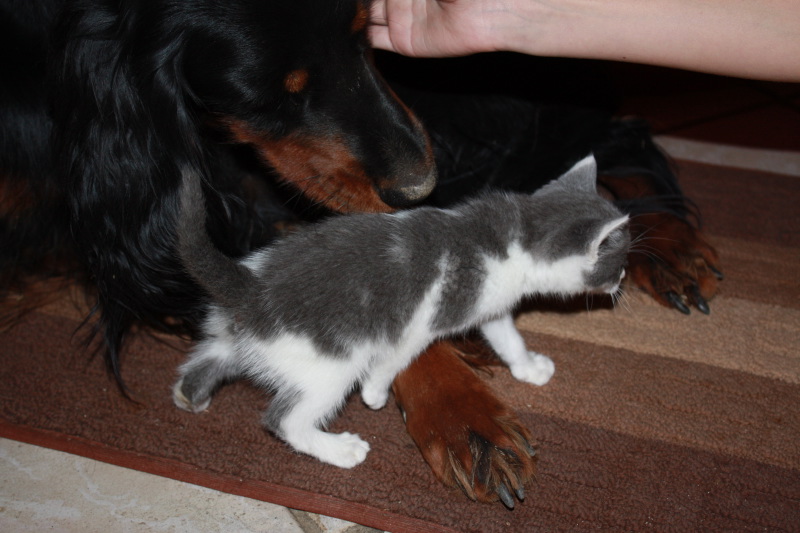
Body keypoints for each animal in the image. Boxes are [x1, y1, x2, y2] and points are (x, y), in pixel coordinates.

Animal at [172, 154, 628, 466]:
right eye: (619, 262)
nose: (624, 279)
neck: (517, 233)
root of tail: (251, 289)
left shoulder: (487, 303)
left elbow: (506, 336)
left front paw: (528, 366)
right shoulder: (423, 319)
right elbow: (396, 357)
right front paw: (375, 393)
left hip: (238, 336)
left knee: (210, 357)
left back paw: (189, 394)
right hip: (329, 364)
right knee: (284, 420)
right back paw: (339, 450)